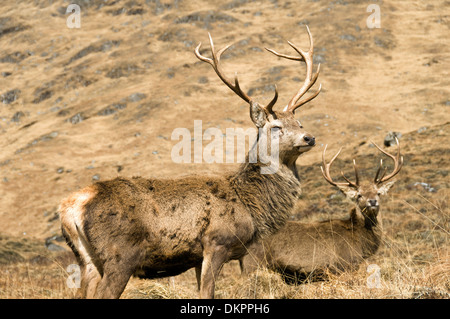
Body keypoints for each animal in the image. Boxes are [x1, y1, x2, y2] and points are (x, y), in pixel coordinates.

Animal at [59, 26, 320, 298]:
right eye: (276, 126)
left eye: (299, 123)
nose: (309, 137)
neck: (251, 205)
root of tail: (71, 207)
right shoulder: (217, 242)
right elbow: (208, 292)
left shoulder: (197, 257)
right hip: (120, 254)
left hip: (86, 260)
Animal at [241, 139, 402, 282]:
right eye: (359, 195)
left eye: (378, 193)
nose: (372, 201)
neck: (361, 242)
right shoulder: (343, 265)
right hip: (253, 264)